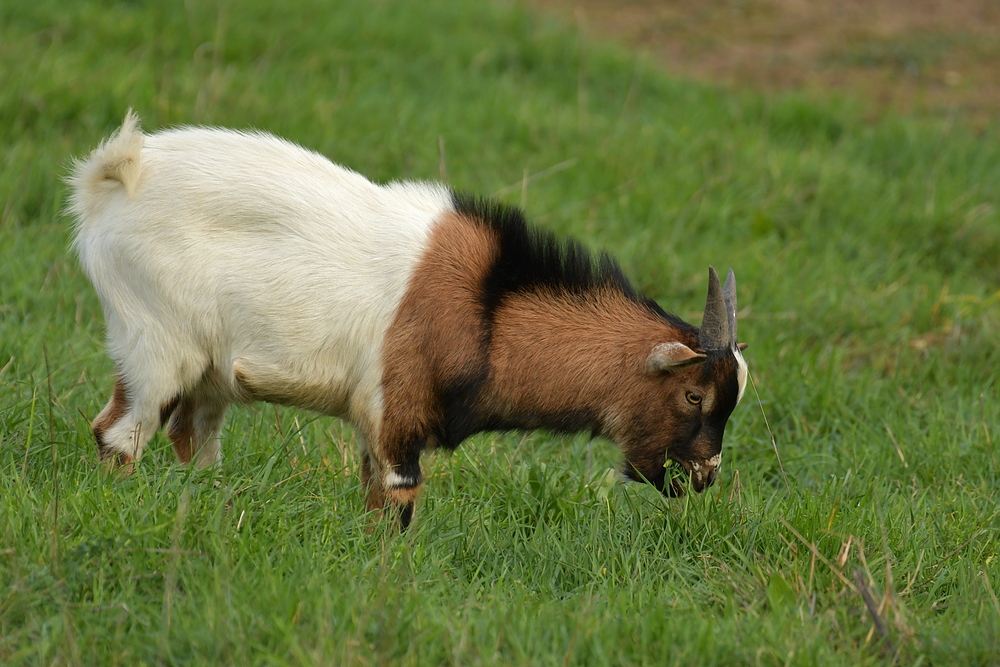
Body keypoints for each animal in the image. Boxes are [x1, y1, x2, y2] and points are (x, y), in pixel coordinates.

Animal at [70, 112, 748, 528]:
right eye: (693, 395)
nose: (702, 478)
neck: (486, 309)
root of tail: (118, 176)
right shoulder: (396, 412)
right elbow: (397, 502)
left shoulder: (376, 424)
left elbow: (372, 495)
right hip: (156, 346)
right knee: (119, 434)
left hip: (207, 373)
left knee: (195, 443)